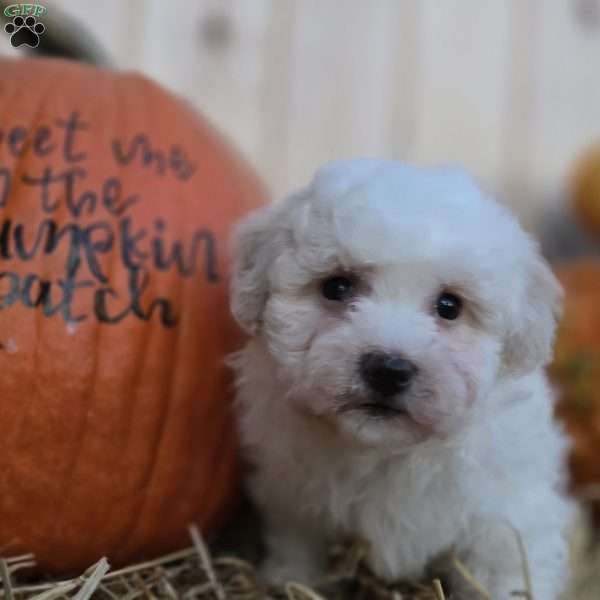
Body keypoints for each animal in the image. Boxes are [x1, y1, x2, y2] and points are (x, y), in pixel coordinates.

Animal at [229, 161, 572, 600]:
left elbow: (507, 570)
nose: (388, 369)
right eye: (336, 286)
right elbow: (299, 544)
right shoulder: (293, 495)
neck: (387, 453)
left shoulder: (509, 514)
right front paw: (289, 578)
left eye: (450, 306)